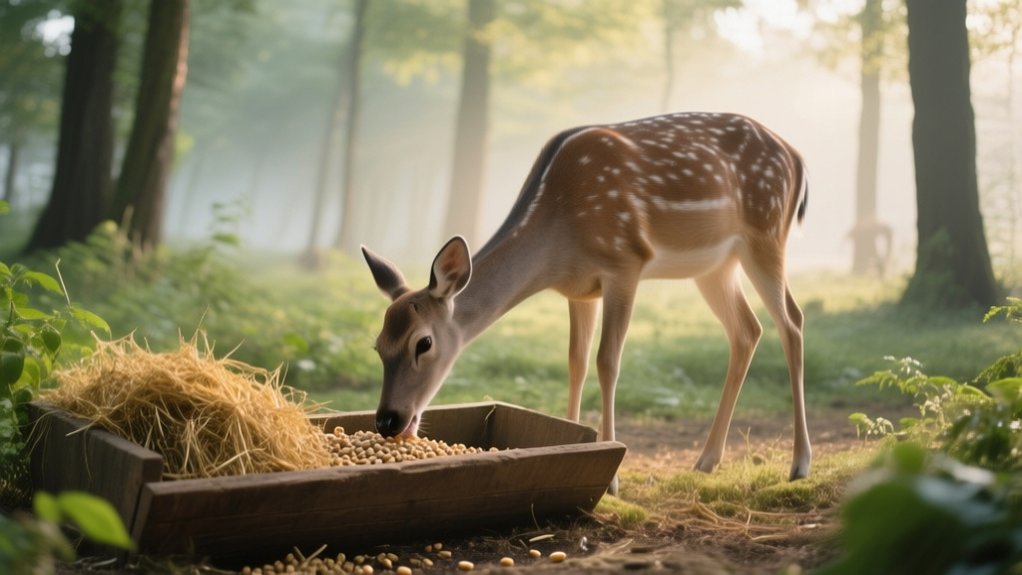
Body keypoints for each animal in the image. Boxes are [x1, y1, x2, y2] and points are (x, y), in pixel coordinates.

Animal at [361, 112, 811, 487]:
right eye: (378, 345)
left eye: (424, 342)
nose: (388, 420)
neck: (559, 237)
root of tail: (797, 157)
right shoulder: (578, 288)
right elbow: (575, 363)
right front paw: (570, 443)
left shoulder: (625, 262)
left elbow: (607, 362)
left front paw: (613, 480)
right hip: (715, 267)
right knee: (747, 329)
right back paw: (706, 460)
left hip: (766, 233)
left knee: (792, 321)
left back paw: (799, 463)